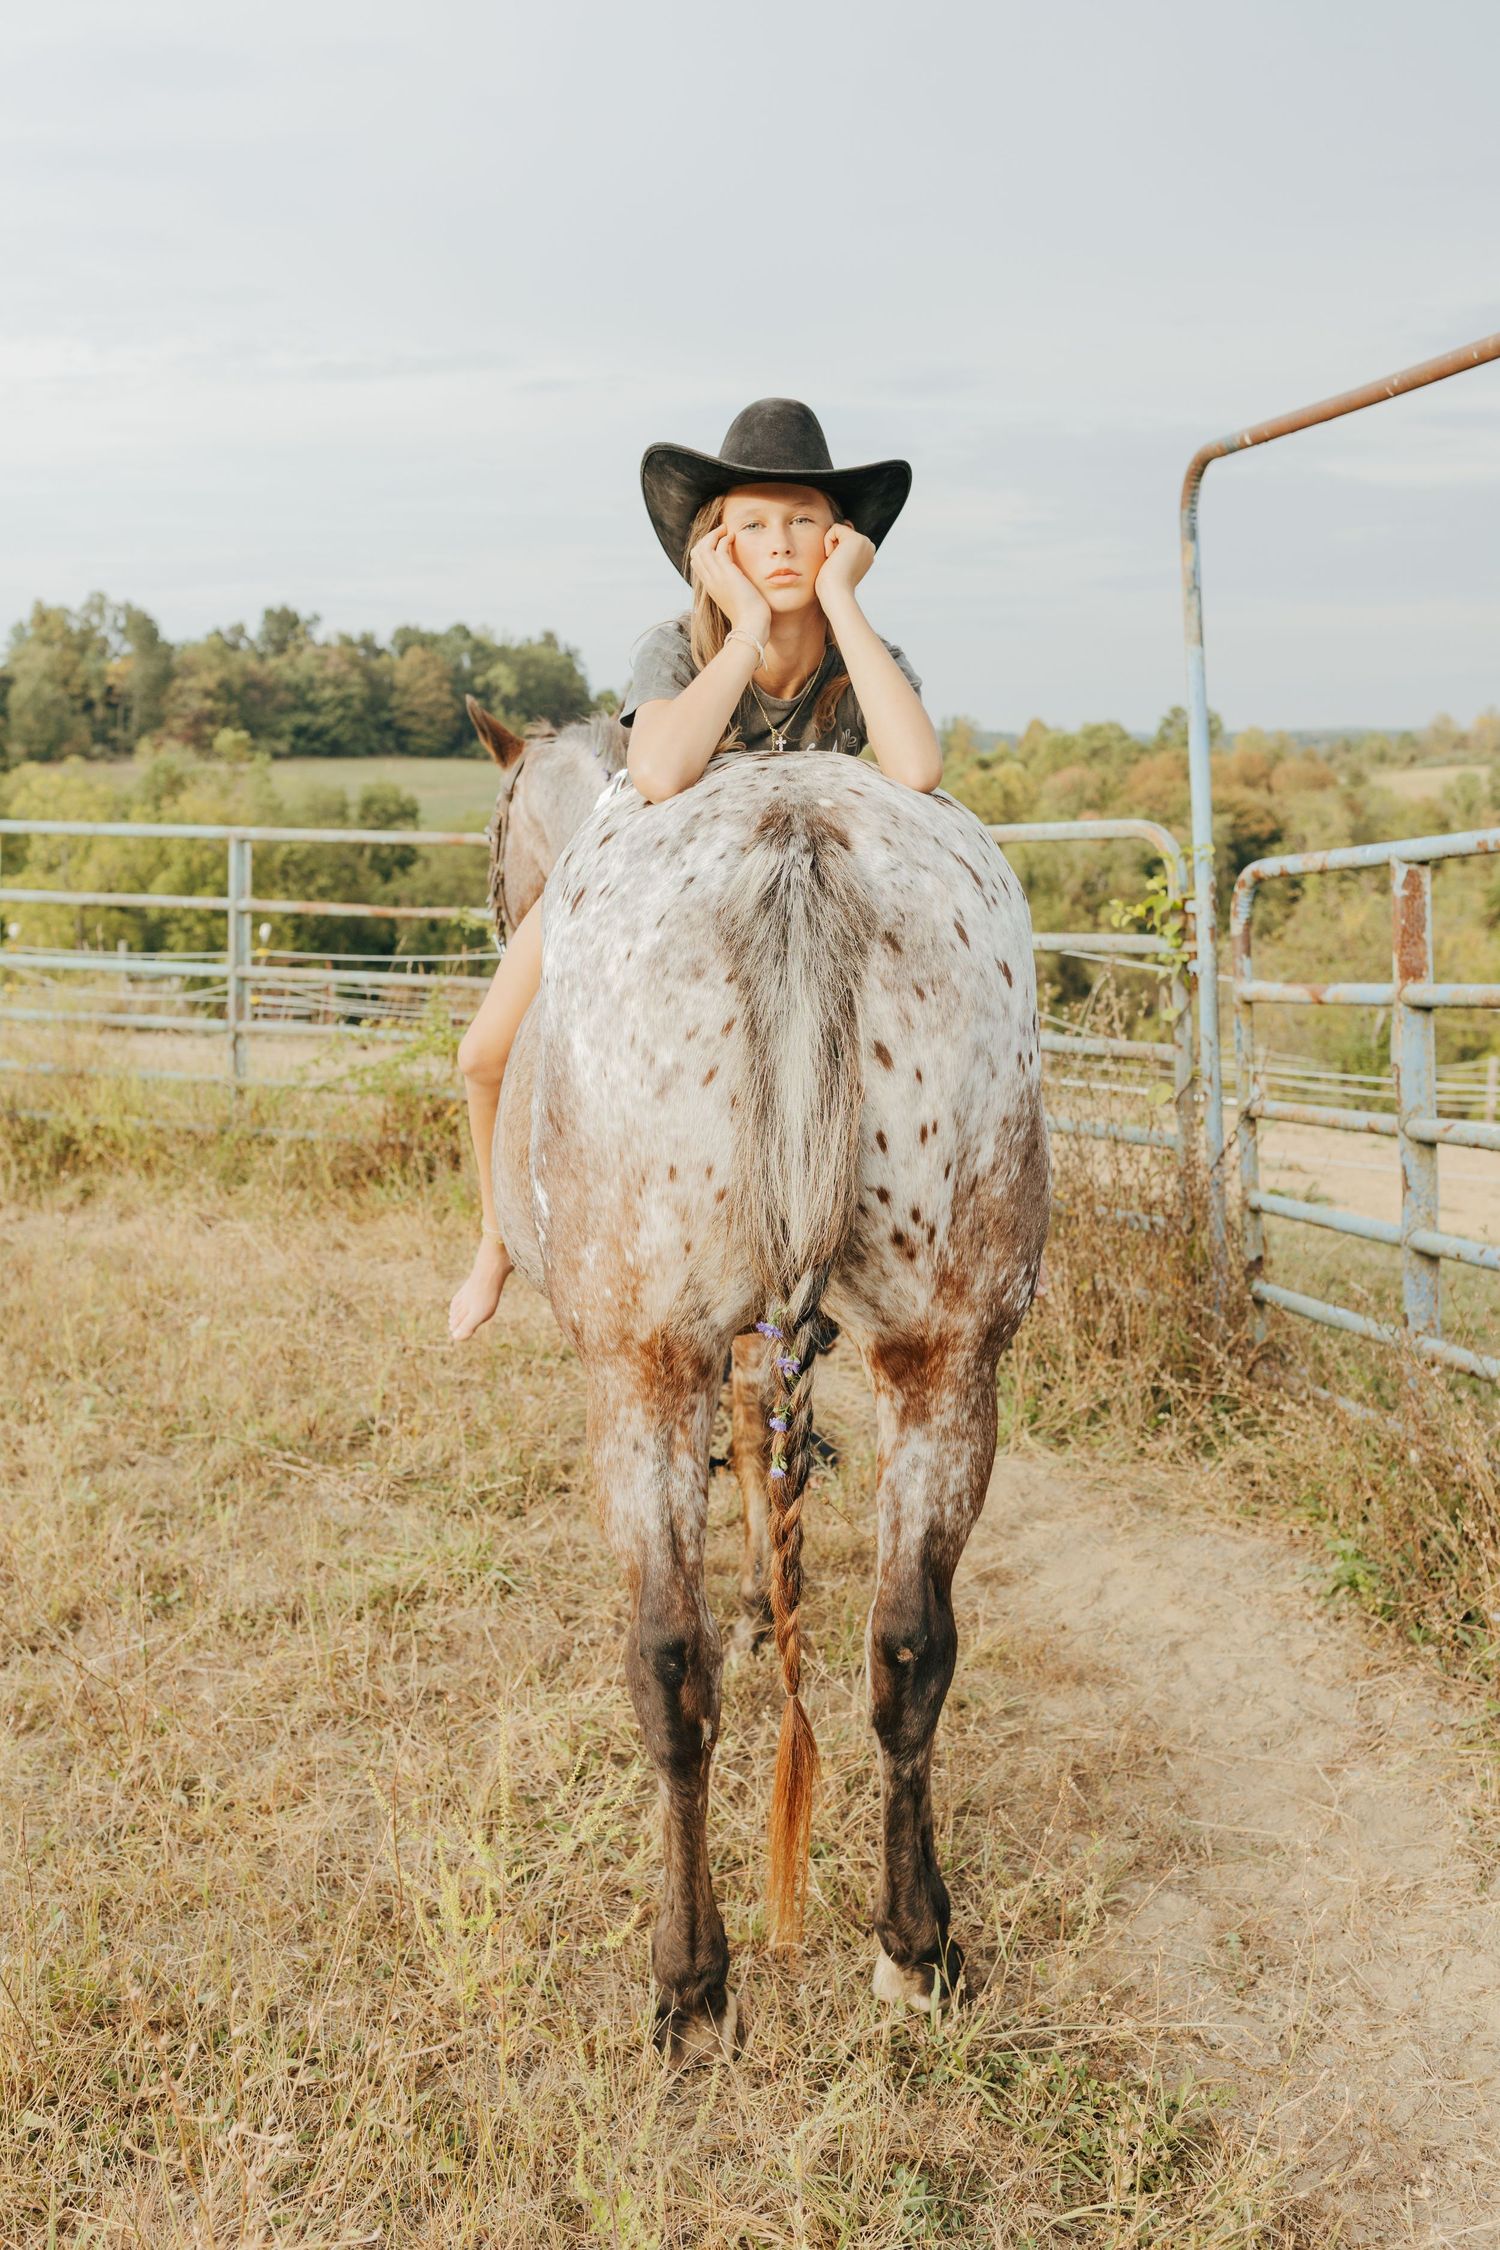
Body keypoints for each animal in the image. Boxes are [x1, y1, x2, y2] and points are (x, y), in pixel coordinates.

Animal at [470, 719, 1050, 2059]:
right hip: (950, 1356)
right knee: (910, 1645)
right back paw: (915, 1945)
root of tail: (799, 844)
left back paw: (690, 1984)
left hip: (640, 1368)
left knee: (668, 1669)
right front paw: (765, 1591)